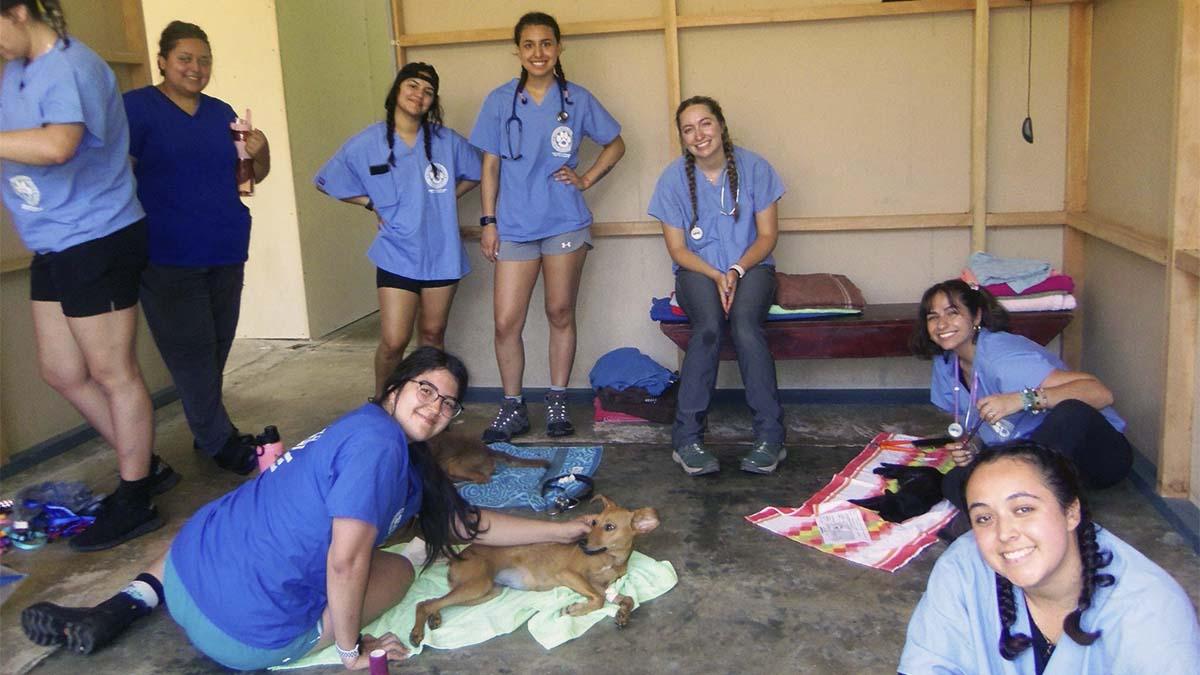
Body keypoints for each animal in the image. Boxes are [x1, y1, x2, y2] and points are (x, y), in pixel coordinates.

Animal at [410, 494, 657, 638]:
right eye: (594, 522)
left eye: (610, 527)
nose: (582, 542)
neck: (610, 558)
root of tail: (458, 556)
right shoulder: (569, 574)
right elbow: (598, 600)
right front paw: (575, 609)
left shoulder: (600, 585)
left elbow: (626, 598)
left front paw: (623, 614)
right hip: (477, 585)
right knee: (424, 604)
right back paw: (416, 632)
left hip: (487, 591)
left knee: (432, 601)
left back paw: (435, 617)